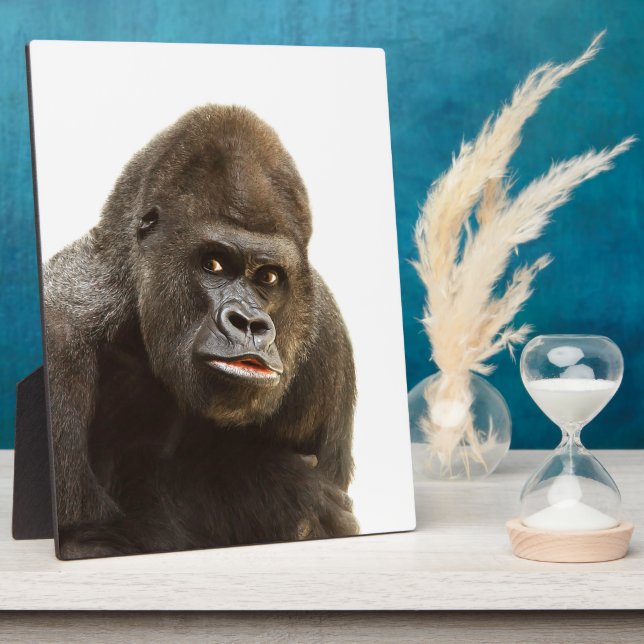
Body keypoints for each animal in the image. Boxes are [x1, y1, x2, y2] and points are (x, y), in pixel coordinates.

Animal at [42, 104, 359, 559]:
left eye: (268, 276)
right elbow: (88, 536)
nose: (249, 324)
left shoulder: (328, 344)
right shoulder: (59, 333)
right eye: (213, 264)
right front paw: (271, 488)